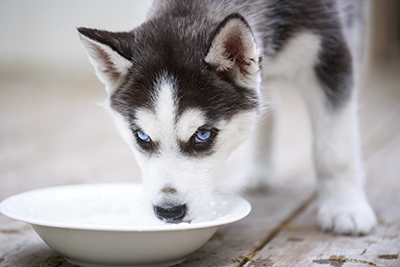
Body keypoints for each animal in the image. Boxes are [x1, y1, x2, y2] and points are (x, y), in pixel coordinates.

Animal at [79, 0, 378, 236]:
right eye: (142, 136)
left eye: (203, 135)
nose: (168, 211)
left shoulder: (330, 56)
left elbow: (334, 150)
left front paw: (345, 207)